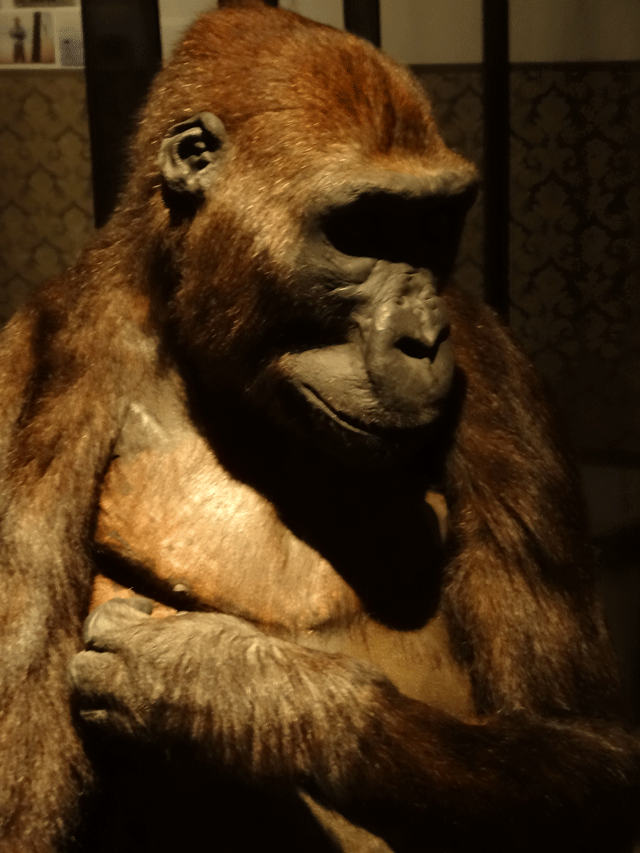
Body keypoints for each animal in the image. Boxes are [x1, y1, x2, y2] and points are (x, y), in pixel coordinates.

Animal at [0, 1, 638, 851]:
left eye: (434, 227)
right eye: (364, 230)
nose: (423, 338)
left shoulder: (498, 370)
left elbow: (587, 746)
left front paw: (233, 689)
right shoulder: (33, 369)